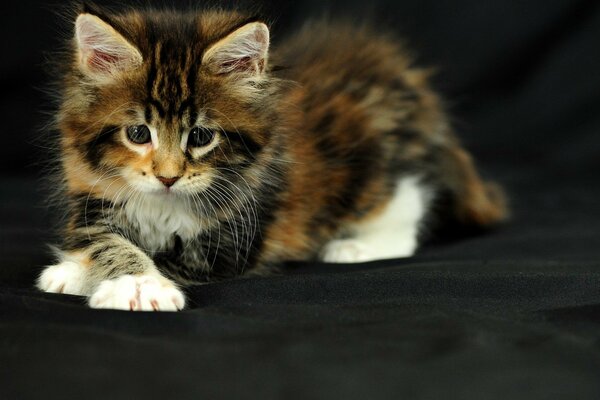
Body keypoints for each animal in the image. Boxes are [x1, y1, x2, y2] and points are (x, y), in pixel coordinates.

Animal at [37, 3, 506, 312]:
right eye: (138, 134)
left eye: (201, 136)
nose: (168, 177)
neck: (162, 204)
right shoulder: (92, 199)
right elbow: (103, 242)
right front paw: (72, 271)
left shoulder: (231, 238)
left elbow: (164, 256)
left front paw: (137, 287)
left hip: (382, 165)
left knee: (407, 207)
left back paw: (352, 247)